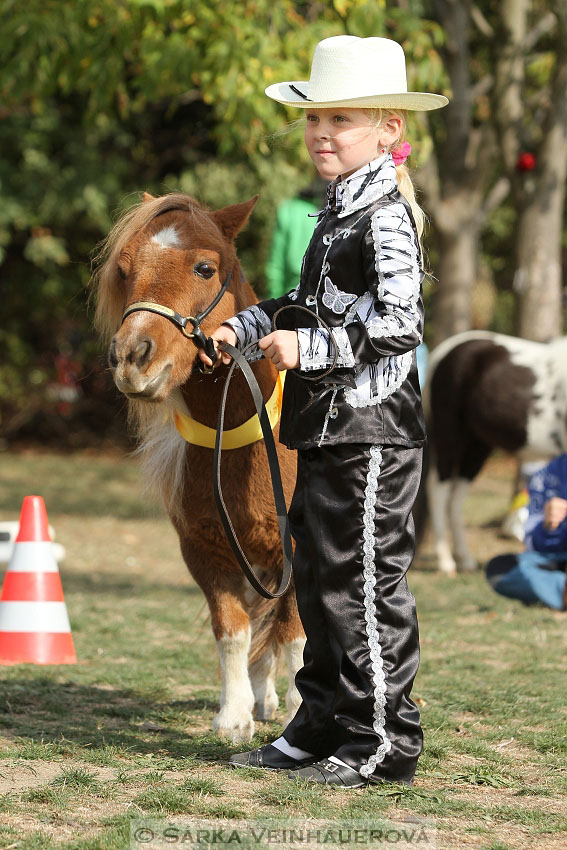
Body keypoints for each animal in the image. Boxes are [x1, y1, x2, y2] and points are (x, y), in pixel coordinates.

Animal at [92, 190, 306, 736]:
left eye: (205, 268)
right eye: (124, 269)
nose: (132, 357)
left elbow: (297, 637)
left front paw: (302, 710)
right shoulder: (206, 552)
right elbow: (233, 631)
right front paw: (234, 716)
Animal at [422, 328, 567, 572]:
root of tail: (444, 351)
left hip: (478, 447)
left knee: (455, 498)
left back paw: (465, 559)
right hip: (450, 436)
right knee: (439, 491)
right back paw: (446, 561)